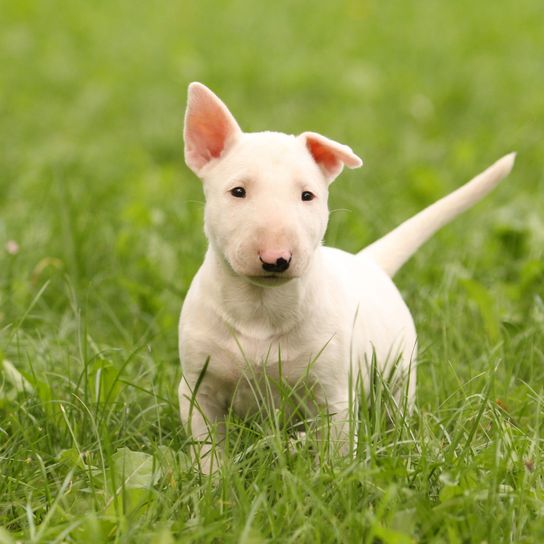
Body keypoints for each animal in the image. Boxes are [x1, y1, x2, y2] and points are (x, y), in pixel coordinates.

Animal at [177, 83, 516, 474]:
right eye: (237, 191)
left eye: (307, 195)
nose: (276, 259)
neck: (259, 307)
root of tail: (369, 263)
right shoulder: (197, 389)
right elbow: (207, 445)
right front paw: (213, 480)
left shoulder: (333, 394)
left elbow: (337, 449)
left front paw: (332, 479)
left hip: (399, 375)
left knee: (395, 412)